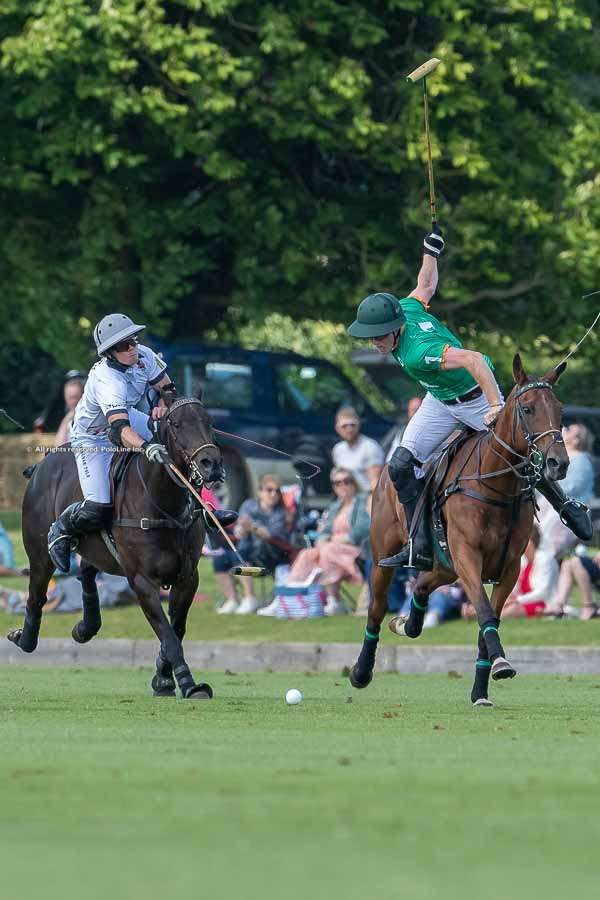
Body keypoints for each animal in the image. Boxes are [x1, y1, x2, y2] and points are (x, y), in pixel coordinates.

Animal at [8, 398, 225, 700]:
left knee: (86, 571)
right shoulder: (142, 581)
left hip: (97, 549)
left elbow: (176, 628)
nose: (211, 464)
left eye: (209, 422)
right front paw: (189, 684)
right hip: (39, 555)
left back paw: (85, 627)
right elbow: (168, 634)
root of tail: (39, 466)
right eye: (176, 424)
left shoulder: (188, 577)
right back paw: (25, 637)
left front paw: (163, 679)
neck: (163, 504)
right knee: (37, 595)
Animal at [350, 356, 568, 708]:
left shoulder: (509, 567)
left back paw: (408, 624)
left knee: (421, 585)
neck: (498, 486)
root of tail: (381, 472)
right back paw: (361, 671)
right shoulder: (468, 557)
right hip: (385, 554)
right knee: (376, 609)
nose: (558, 464)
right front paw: (501, 662)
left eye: (559, 409)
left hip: (444, 564)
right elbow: (483, 611)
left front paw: (481, 689)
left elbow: (487, 620)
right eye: (528, 408)